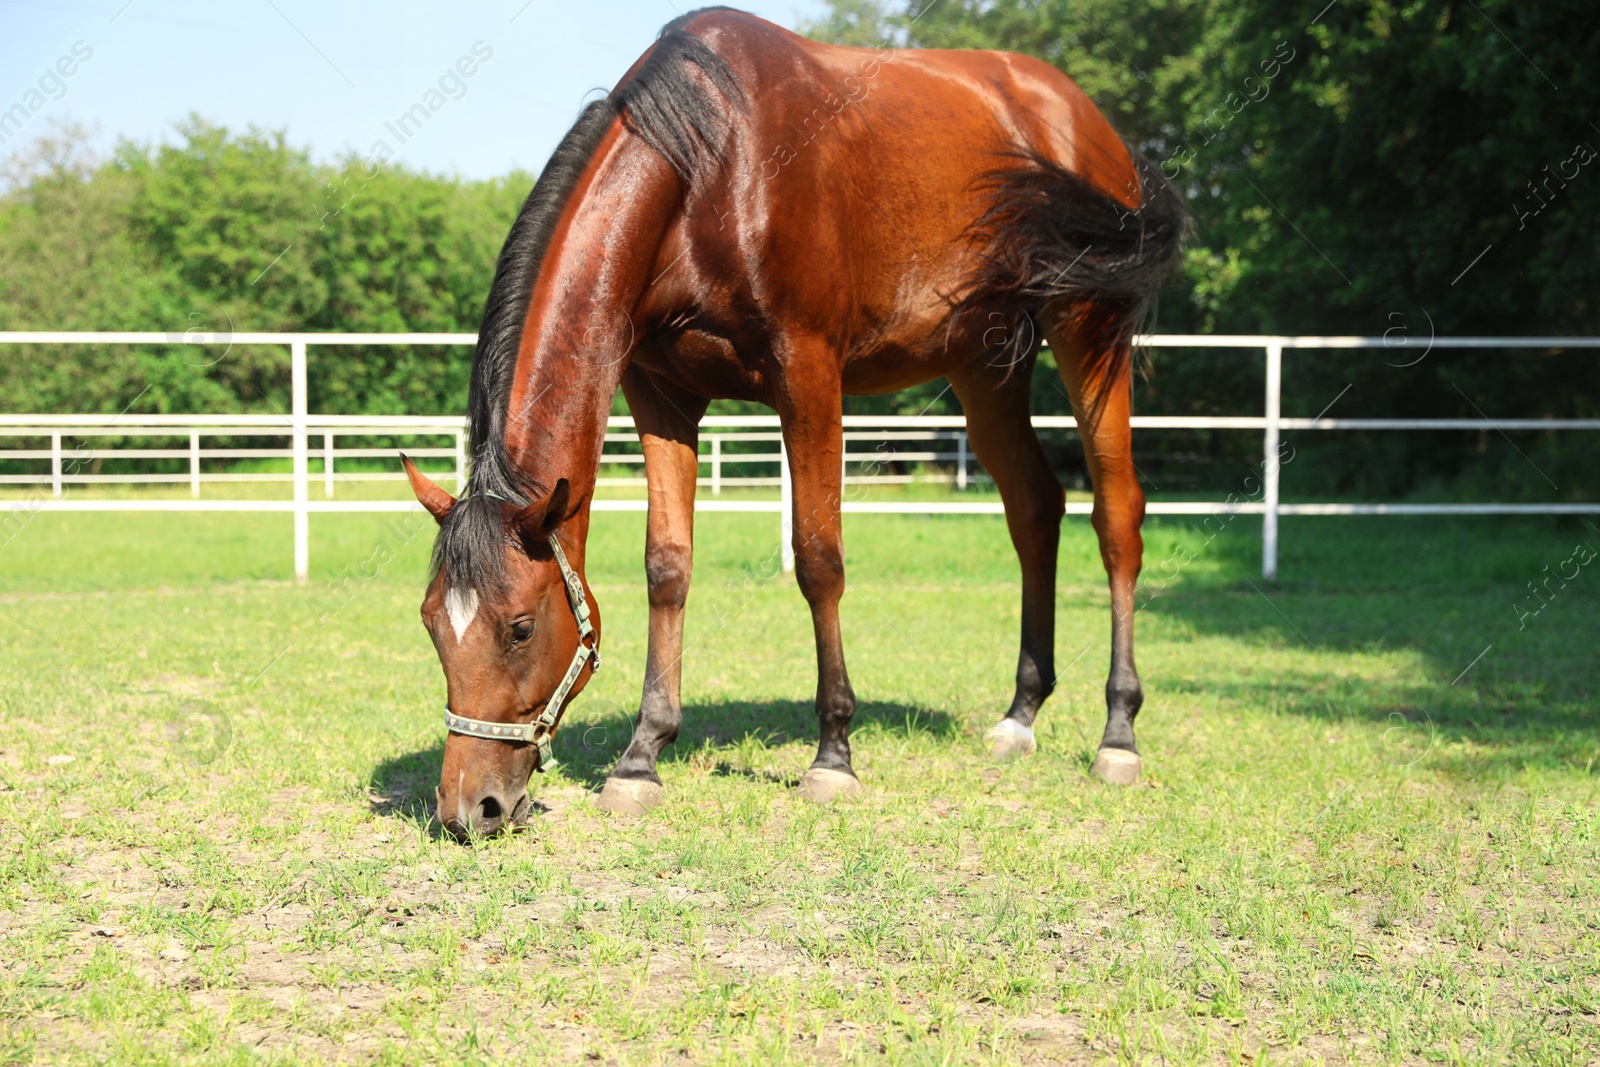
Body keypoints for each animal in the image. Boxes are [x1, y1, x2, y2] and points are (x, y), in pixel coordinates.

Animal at [403, 6, 1190, 844]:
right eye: (431, 623)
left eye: (520, 627)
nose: (470, 808)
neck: (709, 165)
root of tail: (1083, 117)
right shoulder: (661, 394)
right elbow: (667, 566)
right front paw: (642, 756)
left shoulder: (808, 372)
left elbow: (818, 560)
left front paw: (833, 754)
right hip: (986, 366)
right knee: (1035, 509)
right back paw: (1021, 714)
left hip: (1089, 333)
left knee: (1116, 516)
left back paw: (1118, 732)